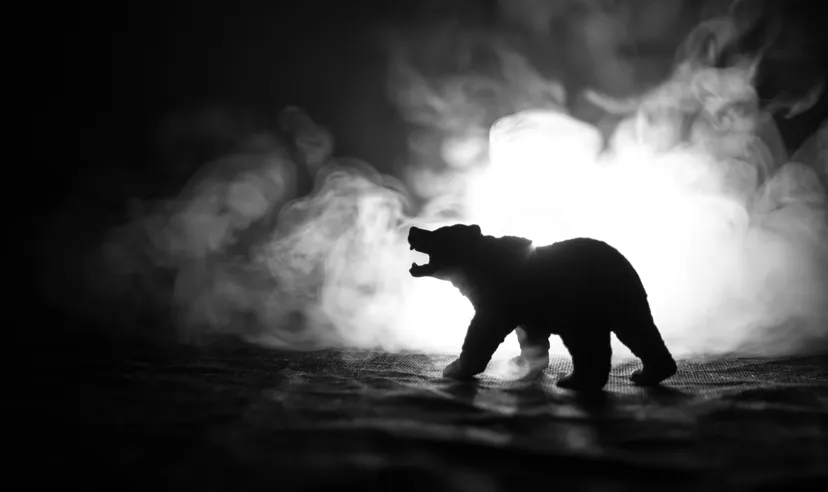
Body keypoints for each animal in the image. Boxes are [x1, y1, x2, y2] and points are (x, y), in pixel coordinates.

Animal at [408, 223, 677, 391]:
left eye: (439, 233)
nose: (413, 230)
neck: (476, 270)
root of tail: (625, 263)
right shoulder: (526, 309)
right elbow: (530, 337)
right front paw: (524, 361)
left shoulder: (500, 298)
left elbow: (481, 332)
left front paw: (455, 369)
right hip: (624, 301)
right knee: (639, 331)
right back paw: (650, 373)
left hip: (581, 302)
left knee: (590, 343)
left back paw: (575, 381)